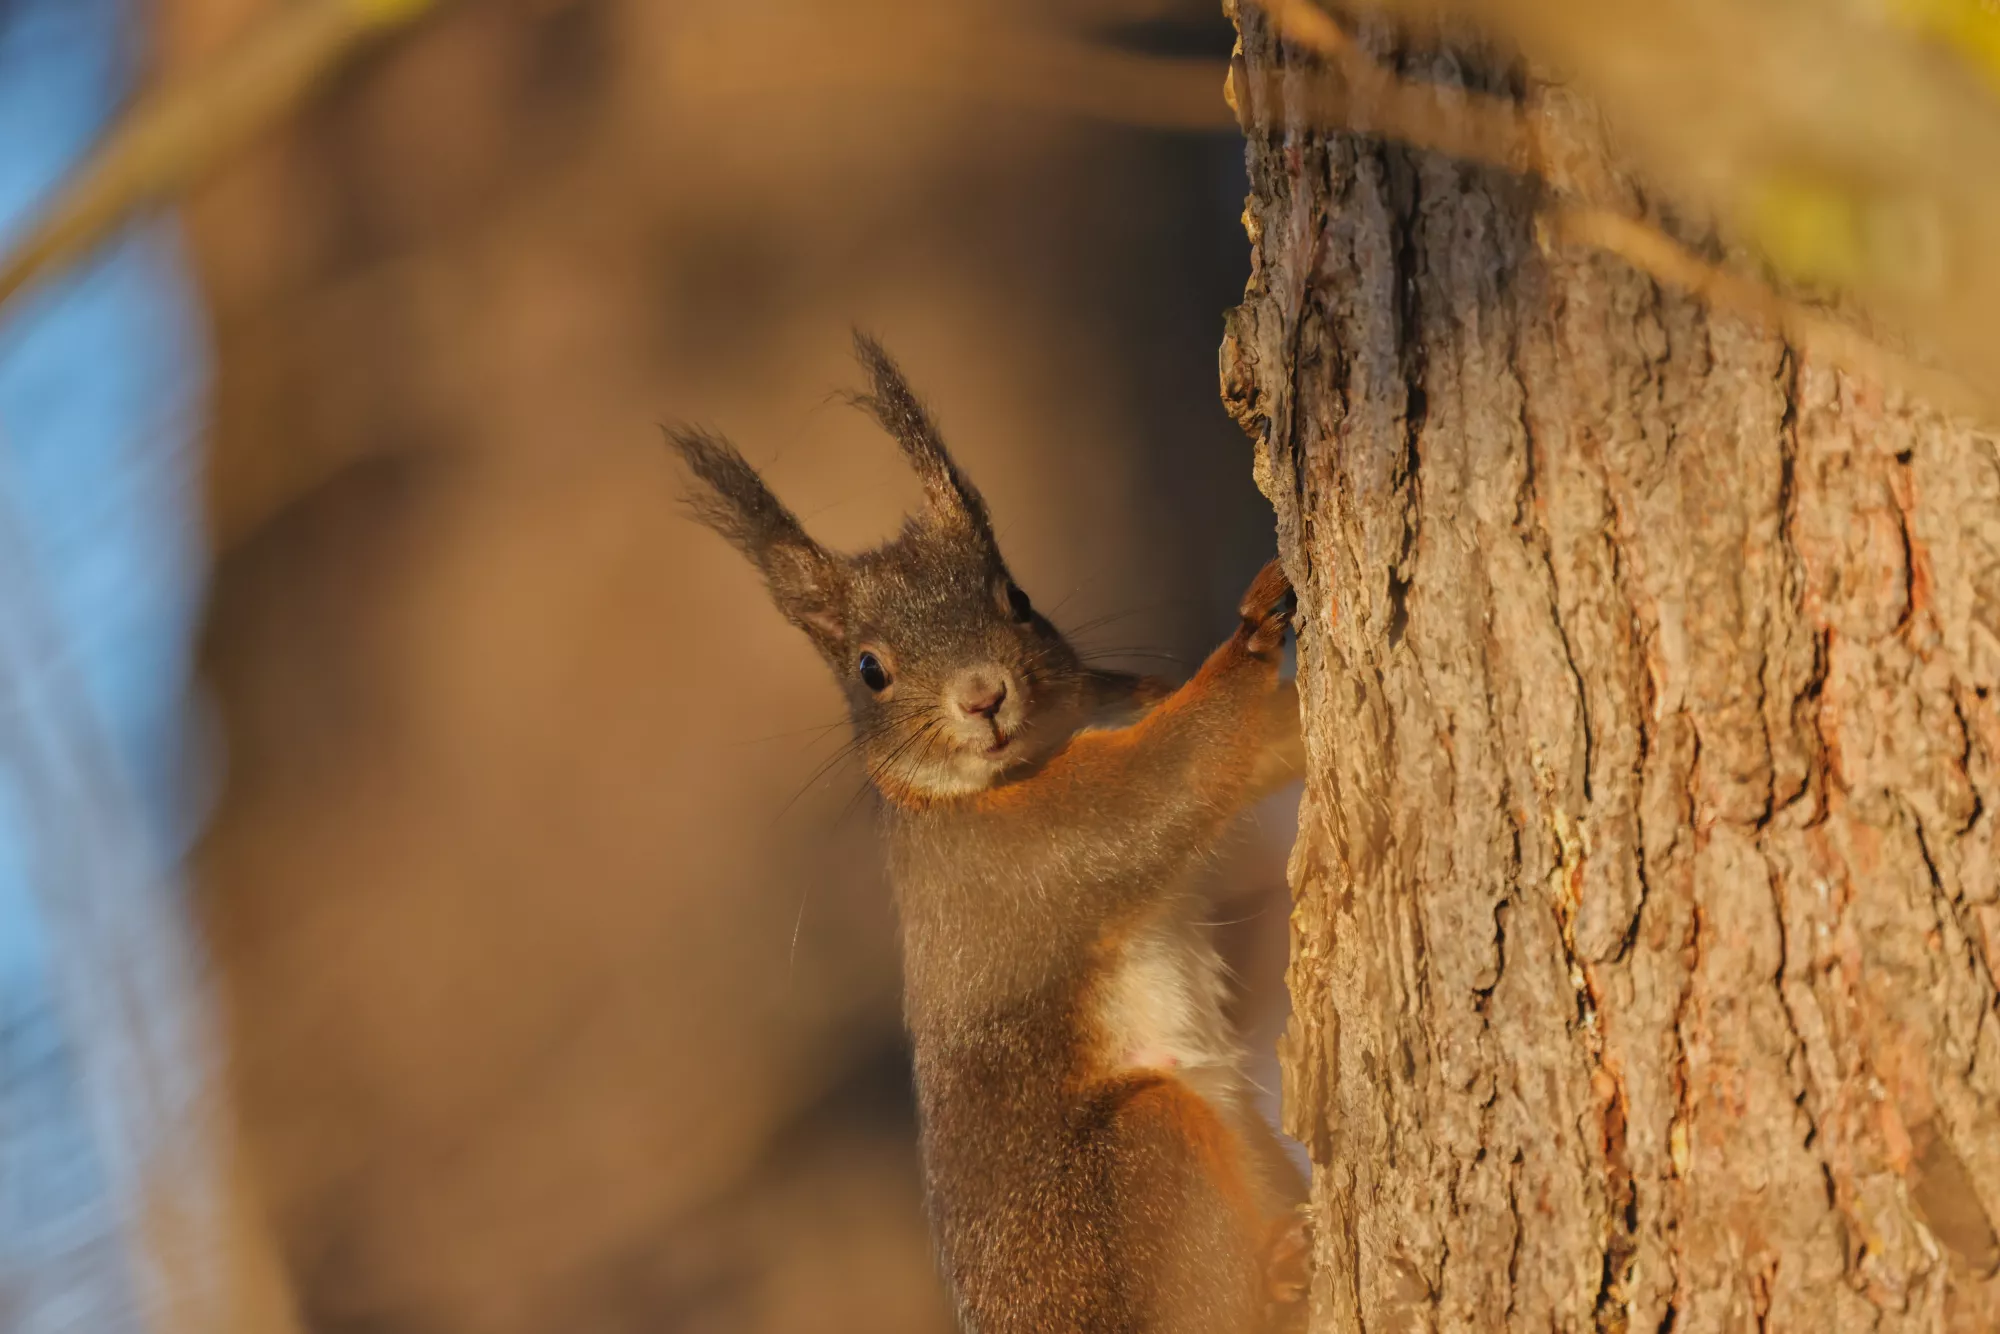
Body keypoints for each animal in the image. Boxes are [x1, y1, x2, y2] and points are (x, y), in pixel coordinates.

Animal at [670, 335, 1310, 1334]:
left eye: (1017, 597)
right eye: (870, 670)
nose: (983, 695)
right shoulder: (1025, 857)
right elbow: (1160, 788)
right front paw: (1251, 632)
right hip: (1145, 1165)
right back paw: (1281, 1280)